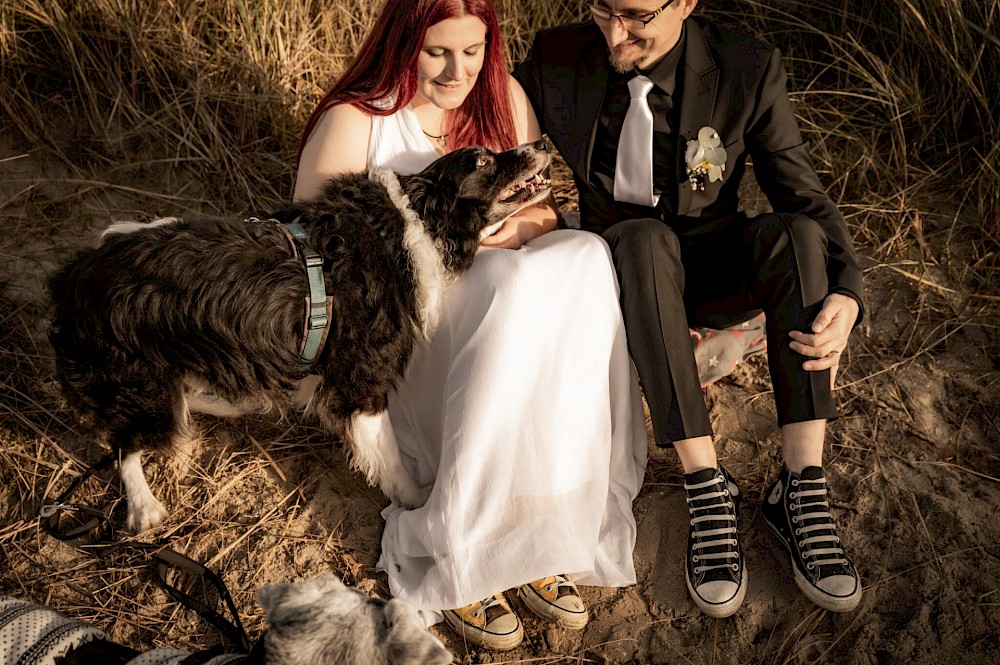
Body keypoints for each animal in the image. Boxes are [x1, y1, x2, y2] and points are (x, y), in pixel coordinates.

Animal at [48, 143, 556, 532]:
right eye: (483, 161)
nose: (541, 143)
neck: (407, 224)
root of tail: (75, 277)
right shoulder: (362, 383)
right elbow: (392, 463)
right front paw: (418, 505)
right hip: (142, 384)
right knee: (124, 443)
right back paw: (144, 506)